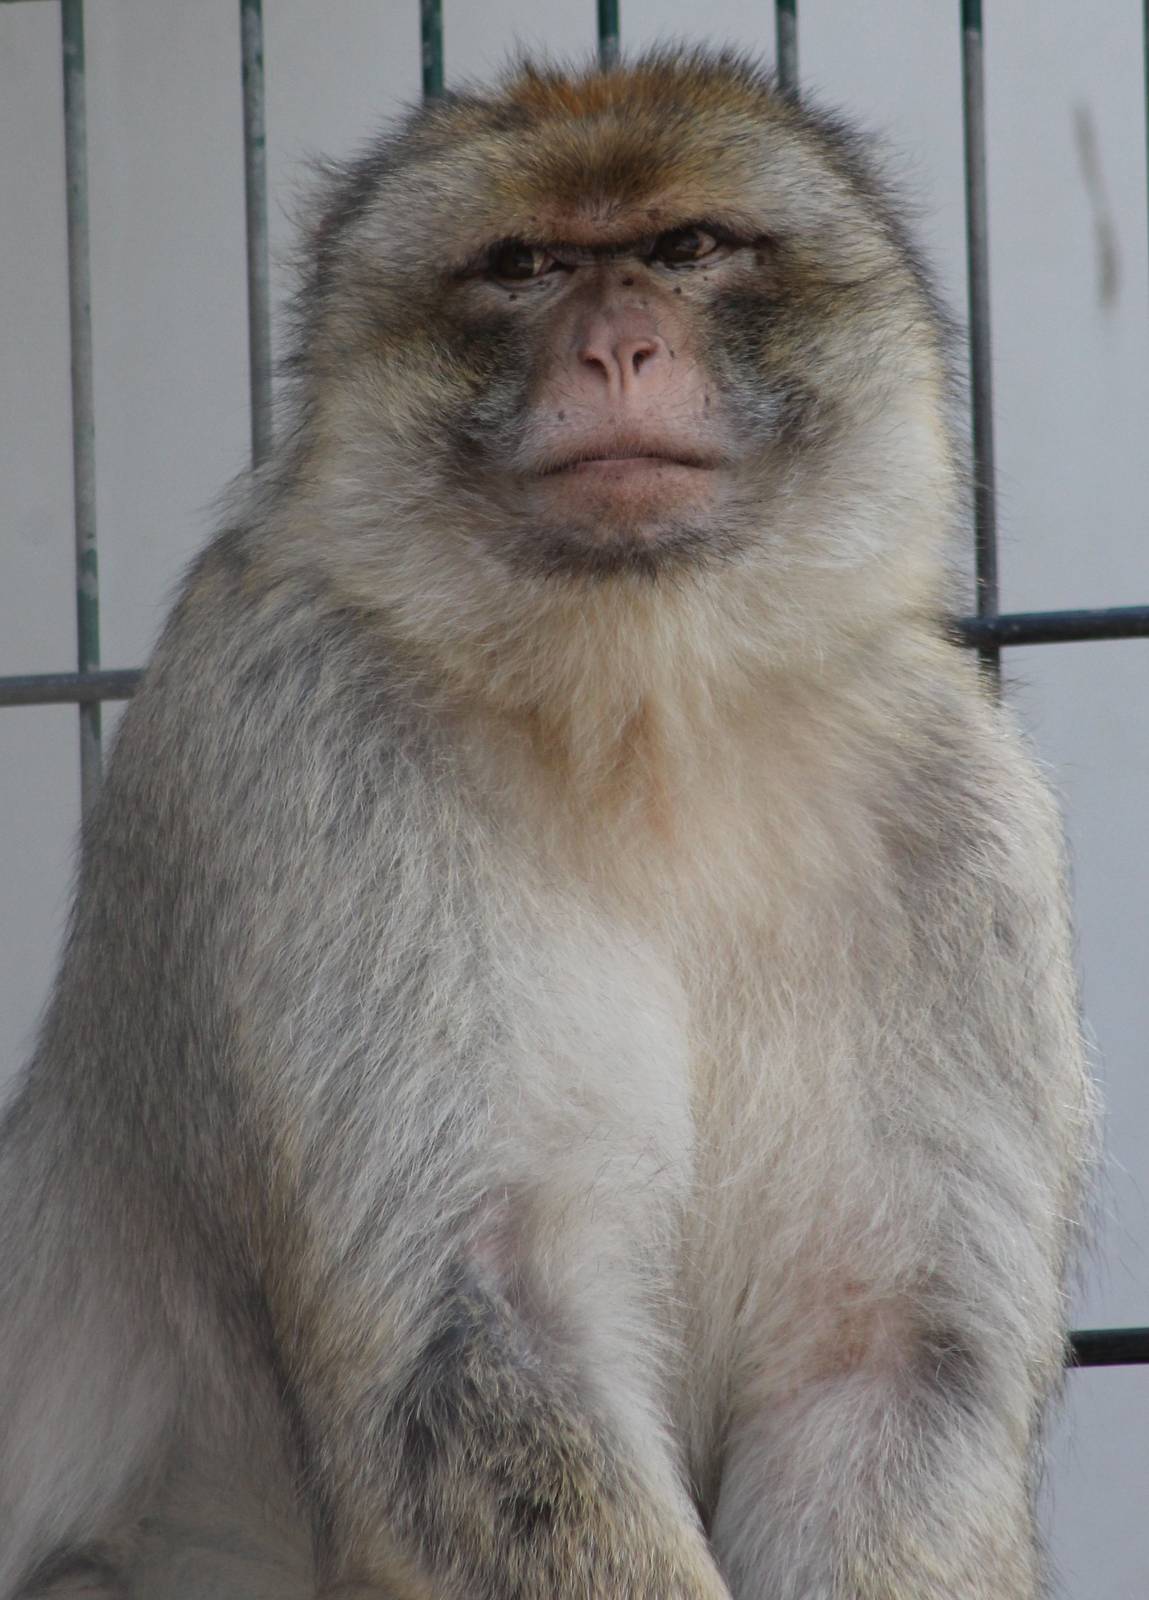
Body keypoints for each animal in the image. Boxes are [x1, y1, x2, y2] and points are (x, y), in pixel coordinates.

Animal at [0, 47, 1095, 1600]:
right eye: (523, 268)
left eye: (686, 249)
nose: (617, 348)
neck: (640, 728)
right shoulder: (297, 741)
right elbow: (475, 1341)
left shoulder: (962, 827)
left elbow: (882, 1365)